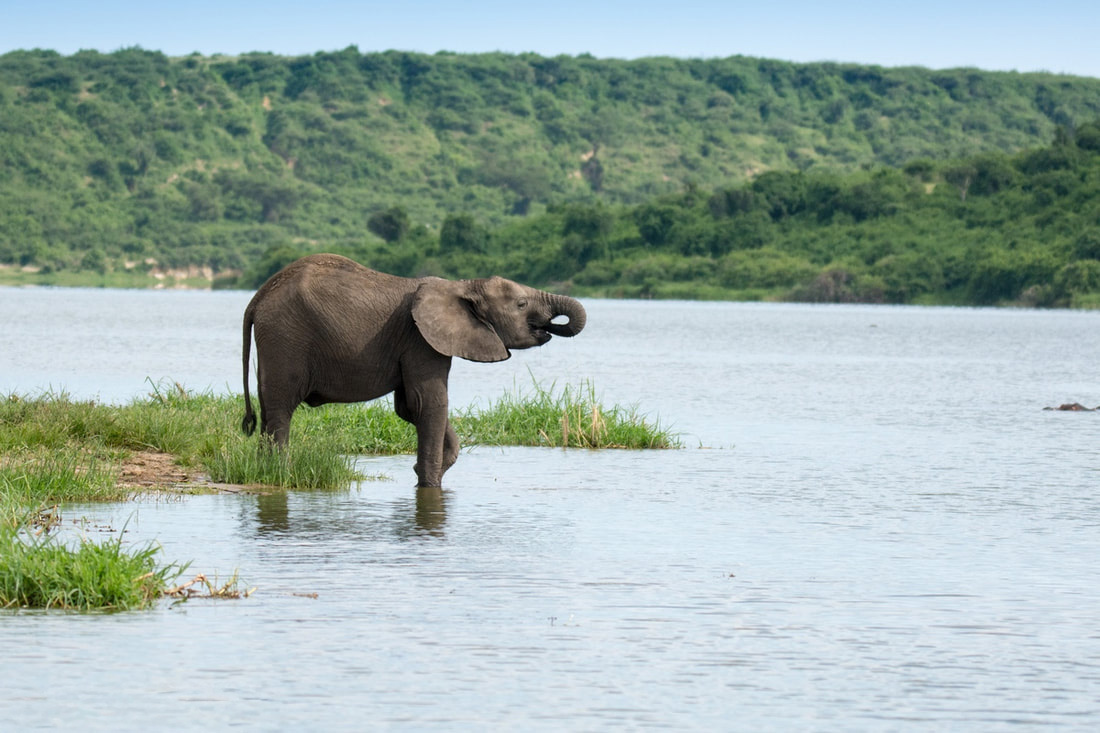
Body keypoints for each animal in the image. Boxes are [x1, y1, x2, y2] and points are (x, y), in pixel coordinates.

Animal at [241, 253, 586, 487]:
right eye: (521, 304)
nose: (550, 326)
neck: (463, 287)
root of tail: (258, 297)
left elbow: (409, 407)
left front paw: (430, 470)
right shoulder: (421, 340)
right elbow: (429, 403)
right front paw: (430, 486)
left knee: (267, 407)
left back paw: (264, 470)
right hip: (286, 337)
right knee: (281, 409)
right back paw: (280, 473)